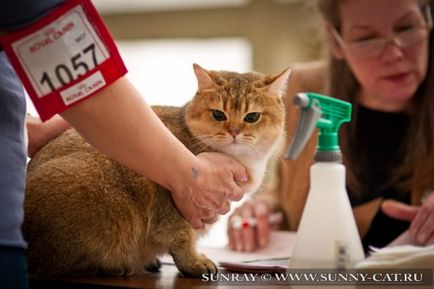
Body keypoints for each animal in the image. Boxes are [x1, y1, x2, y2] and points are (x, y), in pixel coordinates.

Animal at [22, 64, 288, 276]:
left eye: (252, 117)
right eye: (218, 114)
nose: (234, 132)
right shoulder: (172, 201)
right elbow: (182, 238)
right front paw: (194, 263)